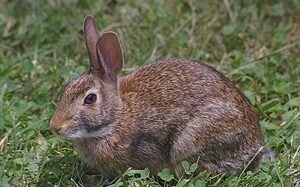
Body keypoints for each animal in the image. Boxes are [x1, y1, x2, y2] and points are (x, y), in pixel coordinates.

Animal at [49, 15, 268, 178]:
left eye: (90, 99)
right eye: (67, 89)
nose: (55, 127)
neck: (117, 119)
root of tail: (255, 145)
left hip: (190, 141)